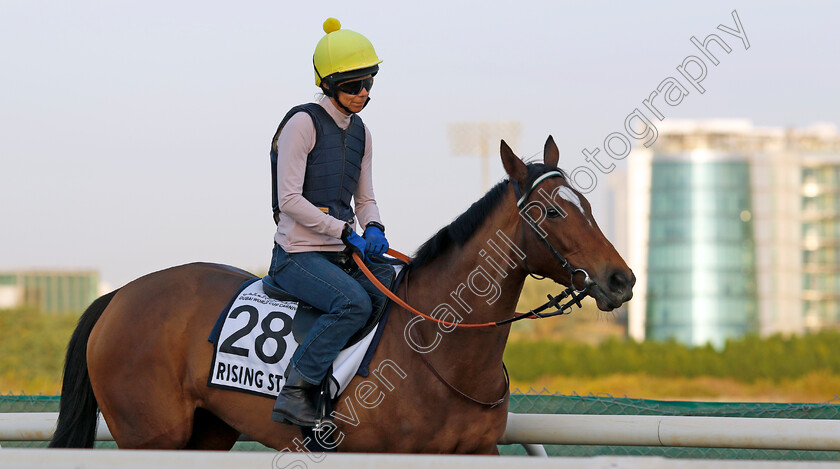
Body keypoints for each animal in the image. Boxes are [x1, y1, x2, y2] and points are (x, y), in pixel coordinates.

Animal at [49, 135, 632, 454]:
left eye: (585, 203)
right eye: (549, 212)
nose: (620, 279)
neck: (439, 348)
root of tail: (119, 295)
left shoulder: (477, 450)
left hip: (207, 431)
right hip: (150, 434)